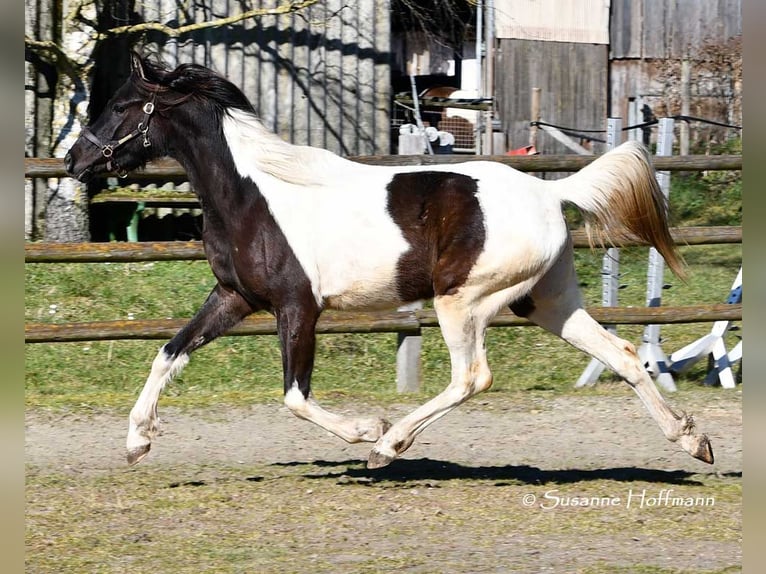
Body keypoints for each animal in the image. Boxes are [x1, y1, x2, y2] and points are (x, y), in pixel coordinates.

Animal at [65, 51, 714, 469]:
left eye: (121, 106)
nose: (74, 160)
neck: (253, 193)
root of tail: (550, 194)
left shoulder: (298, 308)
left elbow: (295, 396)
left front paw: (365, 430)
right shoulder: (235, 298)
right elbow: (169, 353)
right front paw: (136, 442)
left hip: (463, 300)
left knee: (472, 377)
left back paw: (389, 445)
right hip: (545, 300)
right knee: (622, 354)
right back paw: (692, 440)